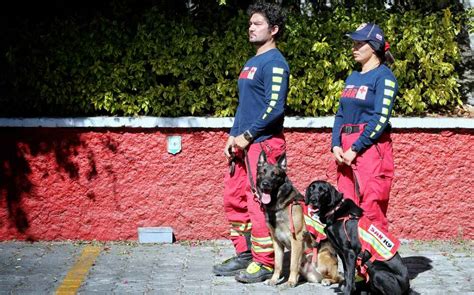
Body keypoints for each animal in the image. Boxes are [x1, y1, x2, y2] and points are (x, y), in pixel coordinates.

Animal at [258, 151, 342, 288]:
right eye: (262, 172)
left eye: (275, 175)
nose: (265, 184)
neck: (279, 205)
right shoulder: (277, 241)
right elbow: (278, 264)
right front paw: (274, 279)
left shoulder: (296, 239)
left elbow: (293, 264)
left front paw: (290, 281)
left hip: (321, 257)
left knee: (338, 277)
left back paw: (327, 280)